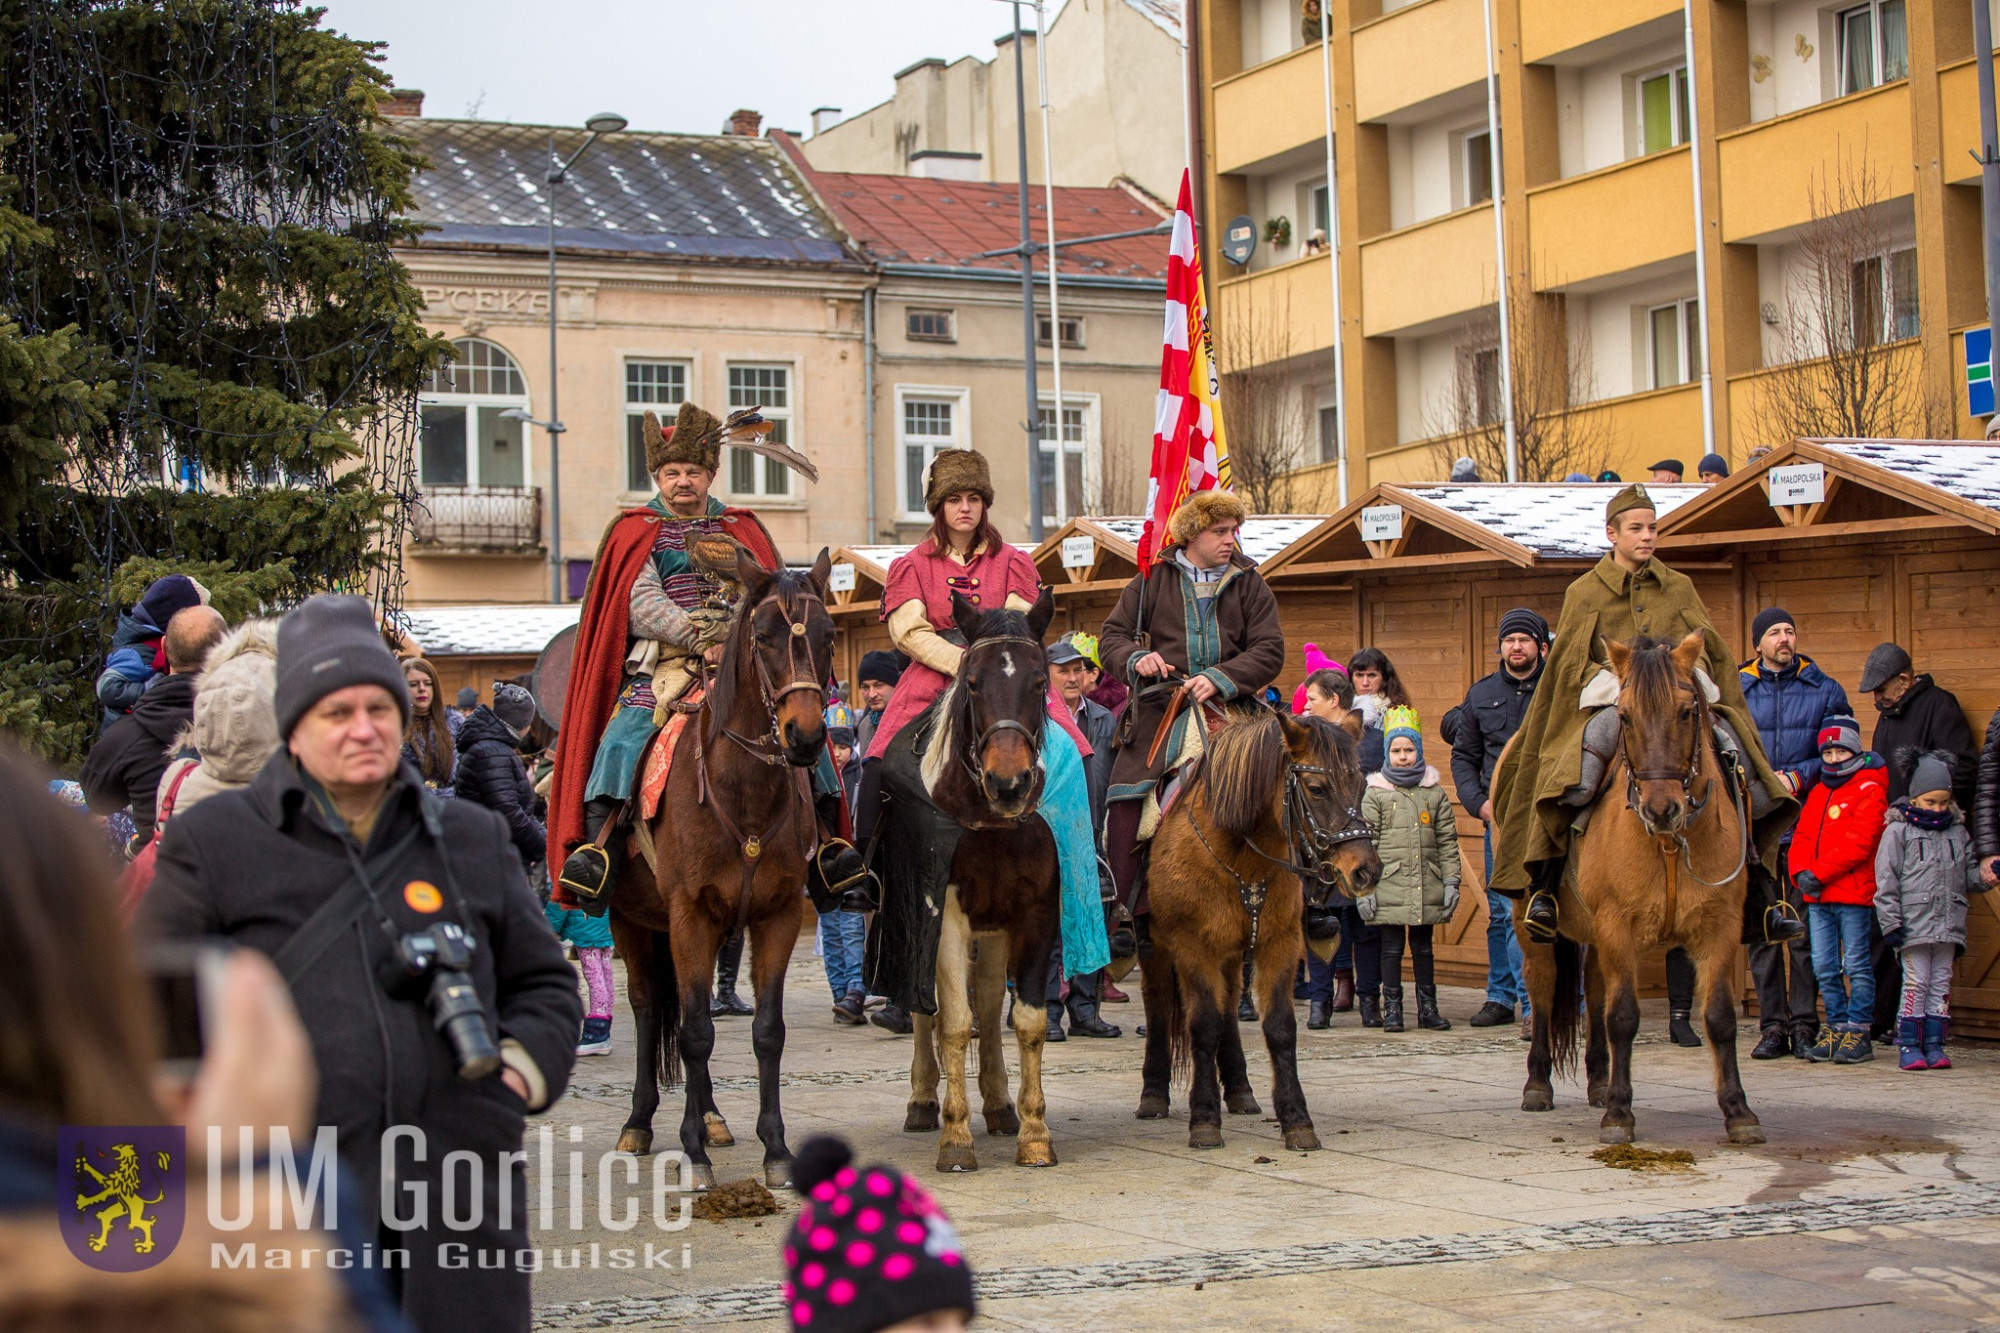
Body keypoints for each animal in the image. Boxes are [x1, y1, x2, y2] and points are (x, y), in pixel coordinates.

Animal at [604, 540, 832, 1184]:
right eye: (764, 637)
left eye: (828, 636)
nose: (806, 737)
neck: (744, 795)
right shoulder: (689, 917)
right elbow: (694, 1033)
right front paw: (693, 1155)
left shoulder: (777, 916)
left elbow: (767, 1032)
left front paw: (775, 1149)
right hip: (630, 919)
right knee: (650, 1009)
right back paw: (640, 1123)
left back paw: (711, 1119)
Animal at [896, 588, 1072, 1168]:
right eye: (972, 682)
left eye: (1039, 682)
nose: (1009, 783)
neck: (993, 825)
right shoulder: (945, 913)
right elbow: (951, 1020)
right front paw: (955, 1138)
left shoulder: (1038, 913)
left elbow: (1028, 1021)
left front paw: (1035, 1134)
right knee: (925, 1008)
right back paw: (923, 1102)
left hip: (995, 929)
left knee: (992, 1005)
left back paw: (998, 1105)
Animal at [1136, 704, 1384, 1152]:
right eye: (1317, 788)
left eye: (1359, 785)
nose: (1366, 872)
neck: (1239, 850)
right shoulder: (1192, 946)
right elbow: (1203, 1025)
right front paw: (1204, 1119)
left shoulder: (1278, 943)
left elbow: (1280, 1028)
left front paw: (1297, 1119)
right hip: (1158, 950)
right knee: (1160, 1003)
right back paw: (1153, 1094)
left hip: (1233, 952)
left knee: (1228, 1007)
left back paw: (1239, 1091)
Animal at [1512, 632, 1768, 1144]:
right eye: (1625, 716)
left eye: (1686, 712)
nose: (1660, 809)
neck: (1670, 843)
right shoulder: (1618, 926)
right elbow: (1624, 1017)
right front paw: (1619, 1114)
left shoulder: (1720, 928)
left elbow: (1720, 1018)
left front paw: (1738, 1111)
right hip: (1538, 928)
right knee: (1544, 989)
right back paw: (1539, 1084)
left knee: (1594, 991)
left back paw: (1597, 1081)